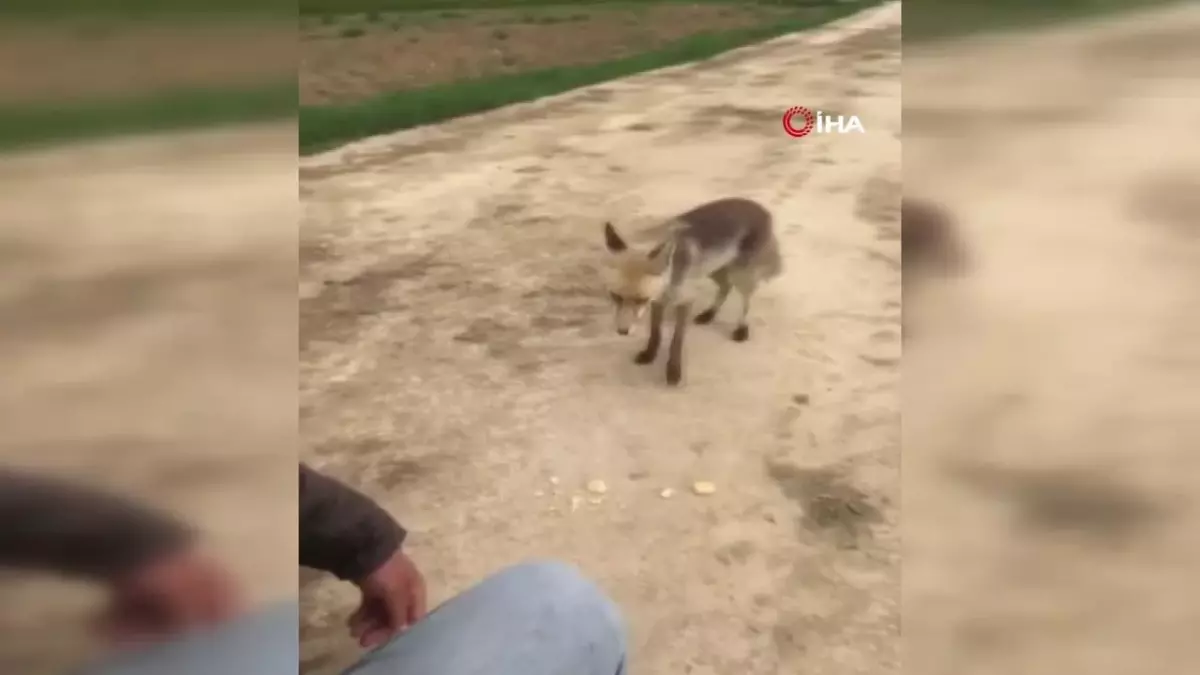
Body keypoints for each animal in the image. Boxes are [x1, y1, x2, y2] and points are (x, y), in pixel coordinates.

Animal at [600, 195, 787, 384]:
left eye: (640, 300)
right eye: (615, 296)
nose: (622, 332)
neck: (670, 280)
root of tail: (760, 207)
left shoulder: (685, 301)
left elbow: (676, 341)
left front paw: (673, 370)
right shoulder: (658, 303)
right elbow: (655, 333)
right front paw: (649, 354)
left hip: (740, 274)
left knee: (746, 301)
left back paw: (741, 328)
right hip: (714, 269)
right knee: (725, 287)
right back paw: (710, 314)